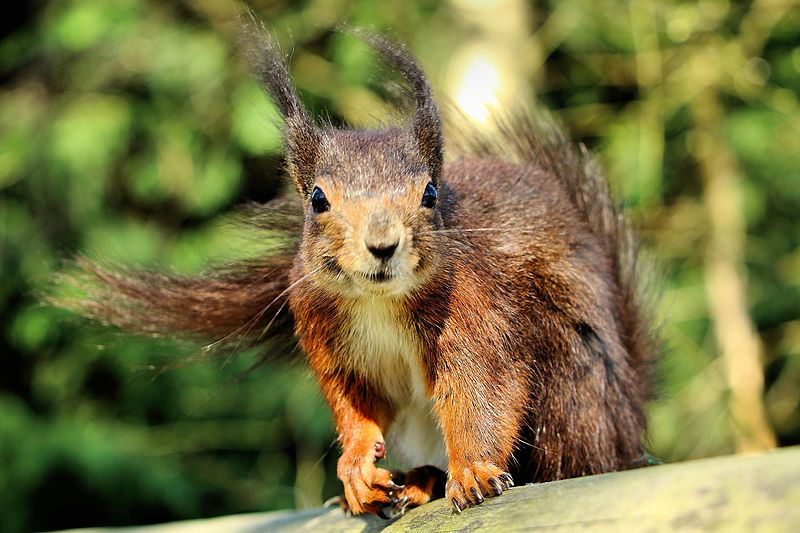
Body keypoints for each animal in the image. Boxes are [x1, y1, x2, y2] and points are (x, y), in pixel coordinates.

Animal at [57, 19, 656, 516]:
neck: (379, 302)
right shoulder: (327, 331)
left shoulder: (478, 310)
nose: (383, 245)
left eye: (429, 193)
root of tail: (625, 438)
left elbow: (483, 389)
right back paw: (416, 481)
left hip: (571, 382)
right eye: (317, 199)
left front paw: (473, 471)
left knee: (559, 459)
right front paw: (355, 468)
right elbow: (358, 404)